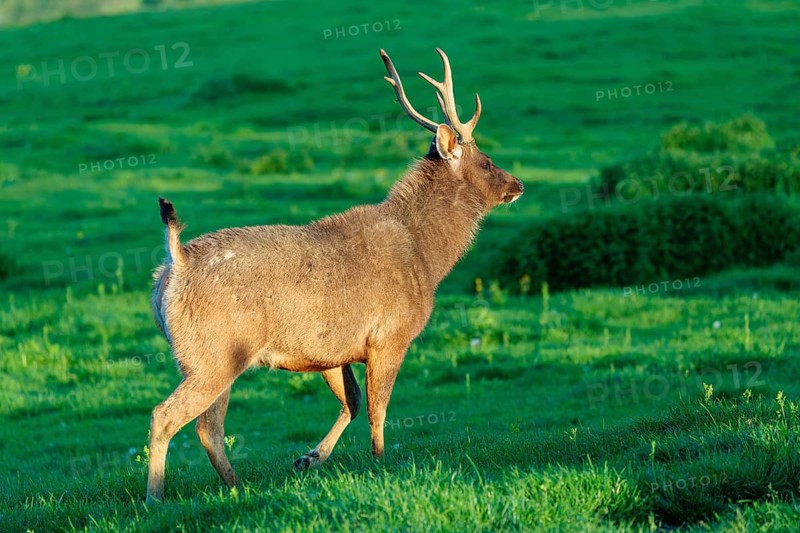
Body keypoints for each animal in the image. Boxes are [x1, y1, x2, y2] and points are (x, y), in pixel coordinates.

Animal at [146, 48, 524, 503]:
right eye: (486, 161)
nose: (518, 184)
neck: (427, 255)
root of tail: (175, 263)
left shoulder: (331, 349)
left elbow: (352, 402)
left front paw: (308, 458)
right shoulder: (389, 335)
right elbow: (378, 408)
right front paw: (380, 463)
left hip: (208, 356)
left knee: (207, 427)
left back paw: (236, 486)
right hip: (212, 353)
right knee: (169, 416)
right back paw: (155, 497)